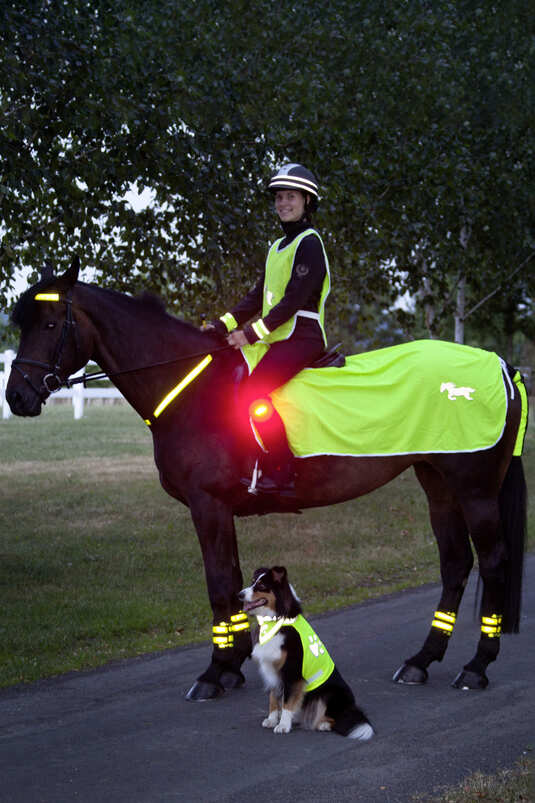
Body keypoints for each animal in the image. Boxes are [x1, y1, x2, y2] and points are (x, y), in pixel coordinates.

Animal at [7, 260, 528, 700]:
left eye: (49, 325)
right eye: (23, 325)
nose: (16, 397)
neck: (192, 391)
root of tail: (502, 366)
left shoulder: (209, 505)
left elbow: (219, 584)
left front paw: (216, 671)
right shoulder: (218, 510)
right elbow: (232, 580)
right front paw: (233, 664)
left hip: (475, 489)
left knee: (493, 562)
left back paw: (477, 666)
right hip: (437, 483)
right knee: (456, 563)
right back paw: (422, 660)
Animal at [241, 564, 374, 740]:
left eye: (262, 586)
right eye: (252, 582)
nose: (239, 595)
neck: (276, 620)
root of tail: (351, 707)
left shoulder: (292, 673)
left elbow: (287, 701)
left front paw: (283, 725)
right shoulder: (272, 671)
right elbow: (273, 698)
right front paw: (272, 719)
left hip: (328, 694)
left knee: (335, 717)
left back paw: (322, 724)